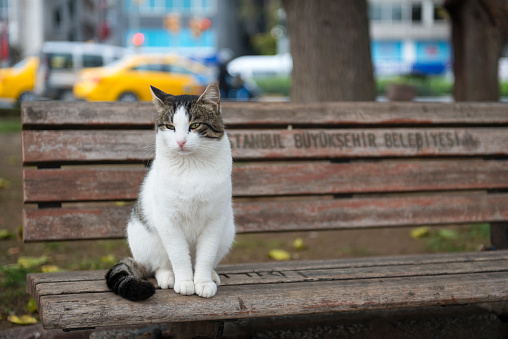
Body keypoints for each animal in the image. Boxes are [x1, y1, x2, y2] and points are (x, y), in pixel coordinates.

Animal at [106, 83, 236, 302]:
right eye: (170, 127)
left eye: (194, 125)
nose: (181, 141)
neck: (191, 167)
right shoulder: (168, 220)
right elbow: (179, 256)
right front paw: (184, 282)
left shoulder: (215, 221)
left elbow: (206, 255)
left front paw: (202, 282)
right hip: (146, 238)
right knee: (158, 265)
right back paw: (167, 276)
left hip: (227, 233)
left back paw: (211, 275)